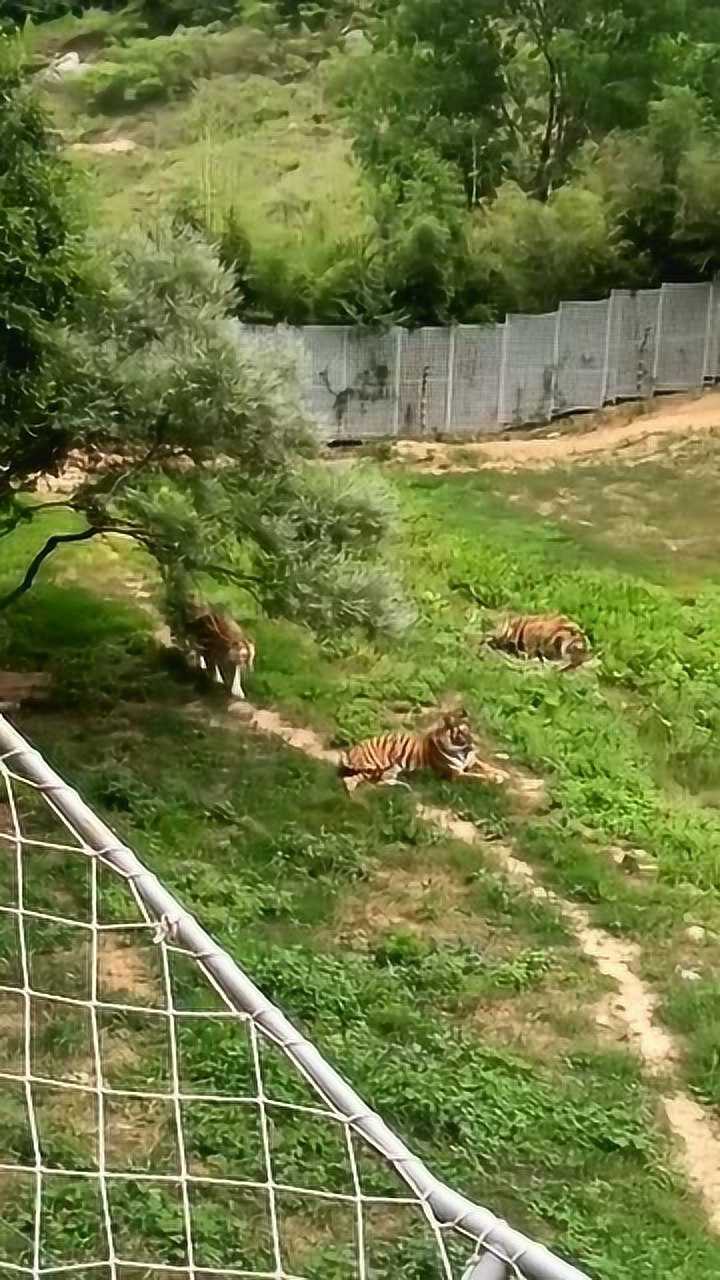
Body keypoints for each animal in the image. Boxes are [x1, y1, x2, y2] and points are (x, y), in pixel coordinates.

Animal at [338, 709, 507, 794]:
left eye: (470, 728)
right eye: (462, 731)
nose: (475, 742)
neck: (462, 750)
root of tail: (351, 751)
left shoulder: (472, 760)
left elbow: (487, 766)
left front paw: (503, 773)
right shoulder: (456, 775)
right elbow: (477, 776)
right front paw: (495, 778)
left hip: (390, 768)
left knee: (375, 781)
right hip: (377, 764)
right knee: (357, 779)